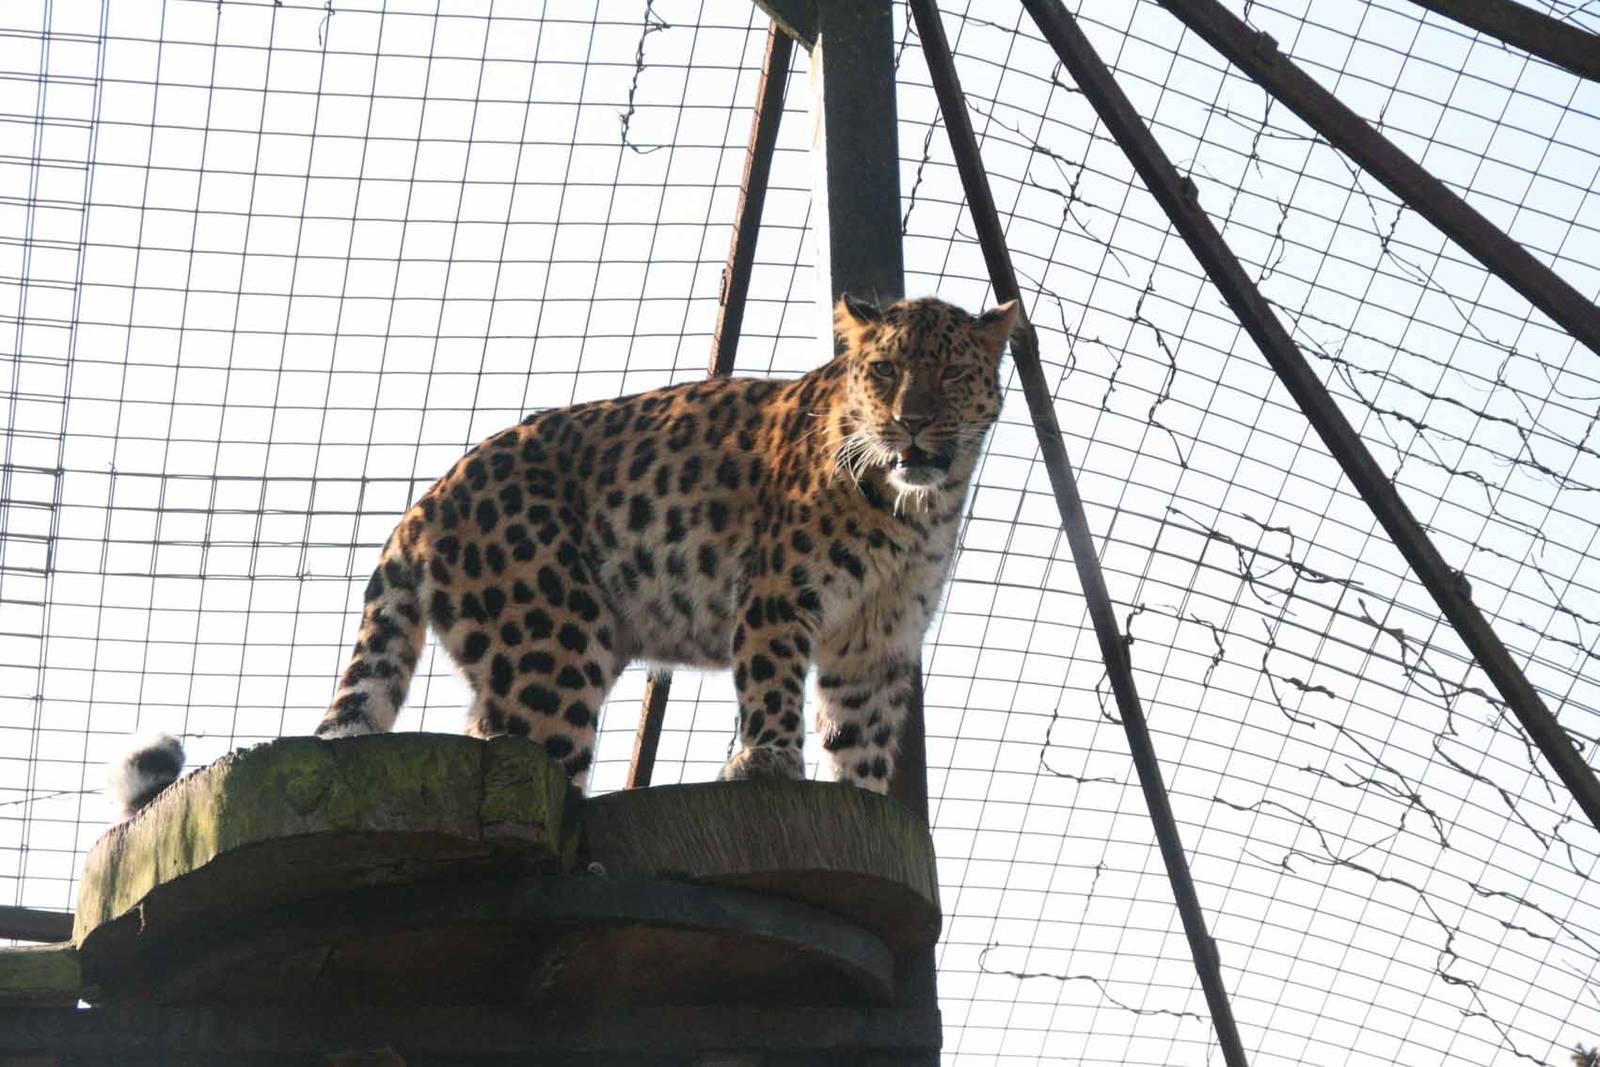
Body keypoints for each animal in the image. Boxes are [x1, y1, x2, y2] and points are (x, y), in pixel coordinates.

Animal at [108, 294, 1015, 814]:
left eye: (950, 374)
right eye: (885, 370)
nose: (910, 423)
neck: (915, 507)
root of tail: (426, 501)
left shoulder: (877, 641)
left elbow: (862, 739)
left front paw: (863, 800)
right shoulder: (778, 596)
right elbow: (771, 689)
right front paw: (763, 763)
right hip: (553, 648)